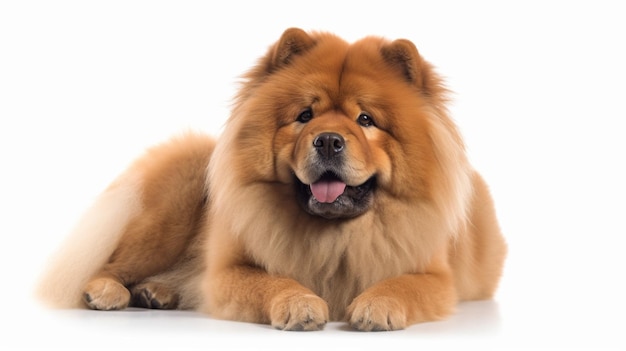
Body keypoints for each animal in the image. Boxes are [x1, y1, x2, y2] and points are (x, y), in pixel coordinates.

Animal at [36, 28, 504, 332]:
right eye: (305, 115)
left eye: (366, 120)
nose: (328, 140)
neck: (336, 236)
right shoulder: (229, 270)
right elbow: (268, 281)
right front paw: (300, 305)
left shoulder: (435, 276)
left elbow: (404, 284)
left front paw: (376, 305)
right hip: (171, 205)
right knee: (110, 261)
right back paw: (107, 291)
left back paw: (156, 293)